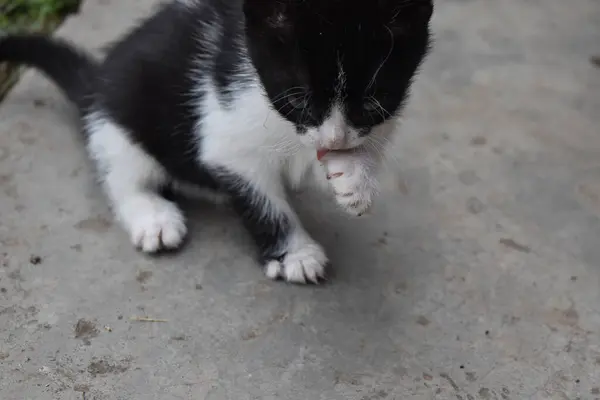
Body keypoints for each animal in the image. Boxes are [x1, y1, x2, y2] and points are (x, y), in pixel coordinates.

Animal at [0, 0, 432, 284]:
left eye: (374, 103)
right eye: (297, 101)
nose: (335, 138)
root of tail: (98, 81)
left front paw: (354, 177)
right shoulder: (227, 127)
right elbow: (260, 197)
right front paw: (296, 253)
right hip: (119, 115)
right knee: (122, 171)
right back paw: (151, 214)